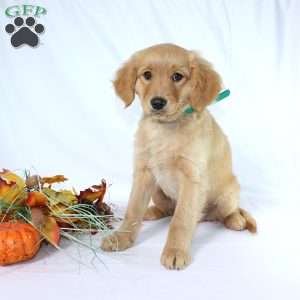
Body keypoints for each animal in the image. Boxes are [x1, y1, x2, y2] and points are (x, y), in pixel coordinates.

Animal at [101, 44, 255, 270]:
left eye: (177, 76)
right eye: (147, 75)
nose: (157, 102)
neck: (165, 129)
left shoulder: (192, 178)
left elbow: (181, 220)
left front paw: (175, 251)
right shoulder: (143, 173)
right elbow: (133, 210)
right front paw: (121, 238)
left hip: (228, 194)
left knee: (225, 212)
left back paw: (236, 220)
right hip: (157, 190)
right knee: (167, 210)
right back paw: (151, 212)